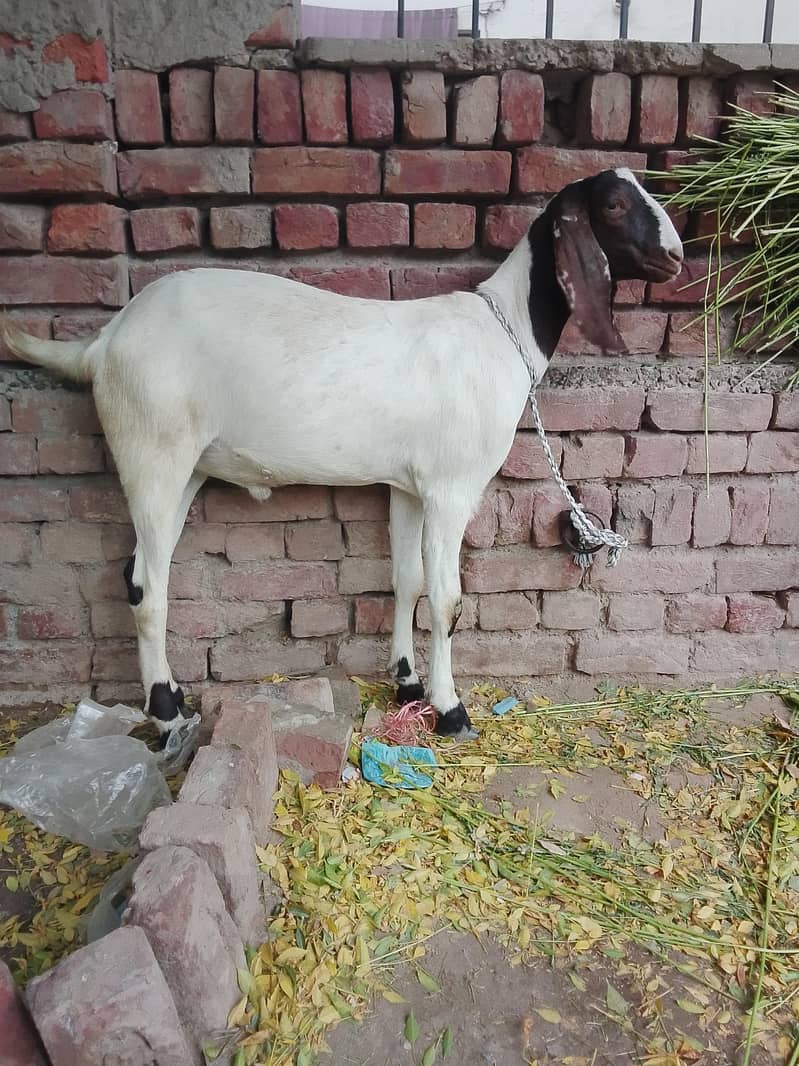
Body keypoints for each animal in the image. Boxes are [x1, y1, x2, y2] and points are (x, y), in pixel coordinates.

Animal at [2, 168, 682, 742]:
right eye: (614, 204)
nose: (676, 256)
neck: (501, 330)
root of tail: (104, 341)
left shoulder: (410, 487)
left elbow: (408, 580)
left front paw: (406, 681)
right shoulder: (451, 489)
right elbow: (447, 596)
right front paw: (450, 709)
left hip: (184, 465)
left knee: (141, 569)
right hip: (152, 451)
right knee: (150, 584)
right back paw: (167, 714)